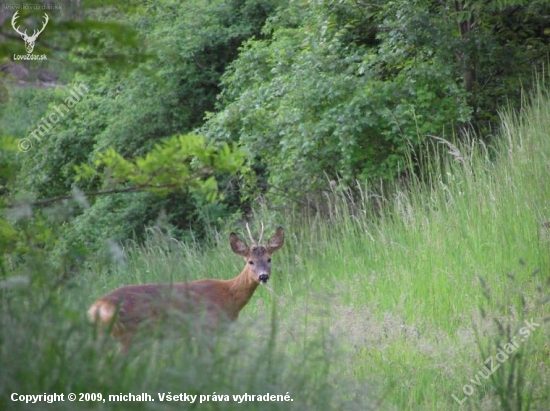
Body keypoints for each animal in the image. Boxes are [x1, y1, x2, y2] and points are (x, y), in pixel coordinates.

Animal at [88, 224, 286, 352]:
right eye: (250, 261)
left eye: (269, 259)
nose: (263, 276)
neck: (228, 296)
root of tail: (95, 308)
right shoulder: (207, 327)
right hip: (128, 336)